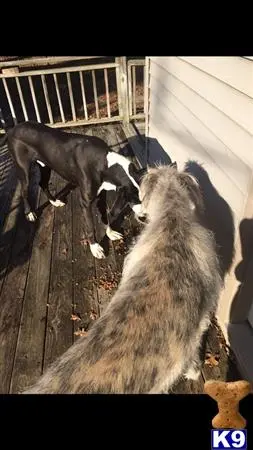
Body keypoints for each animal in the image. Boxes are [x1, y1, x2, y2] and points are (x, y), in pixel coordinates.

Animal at [0, 121, 146, 258]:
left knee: (43, 184)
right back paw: (29, 213)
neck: (105, 163)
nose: (144, 217)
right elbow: (90, 227)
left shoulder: (102, 196)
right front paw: (95, 247)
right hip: (24, 170)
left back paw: (54, 201)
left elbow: (105, 216)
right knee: (24, 191)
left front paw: (110, 233)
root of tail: (12, 129)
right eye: (133, 198)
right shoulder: (85, 203)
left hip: (46, 166)